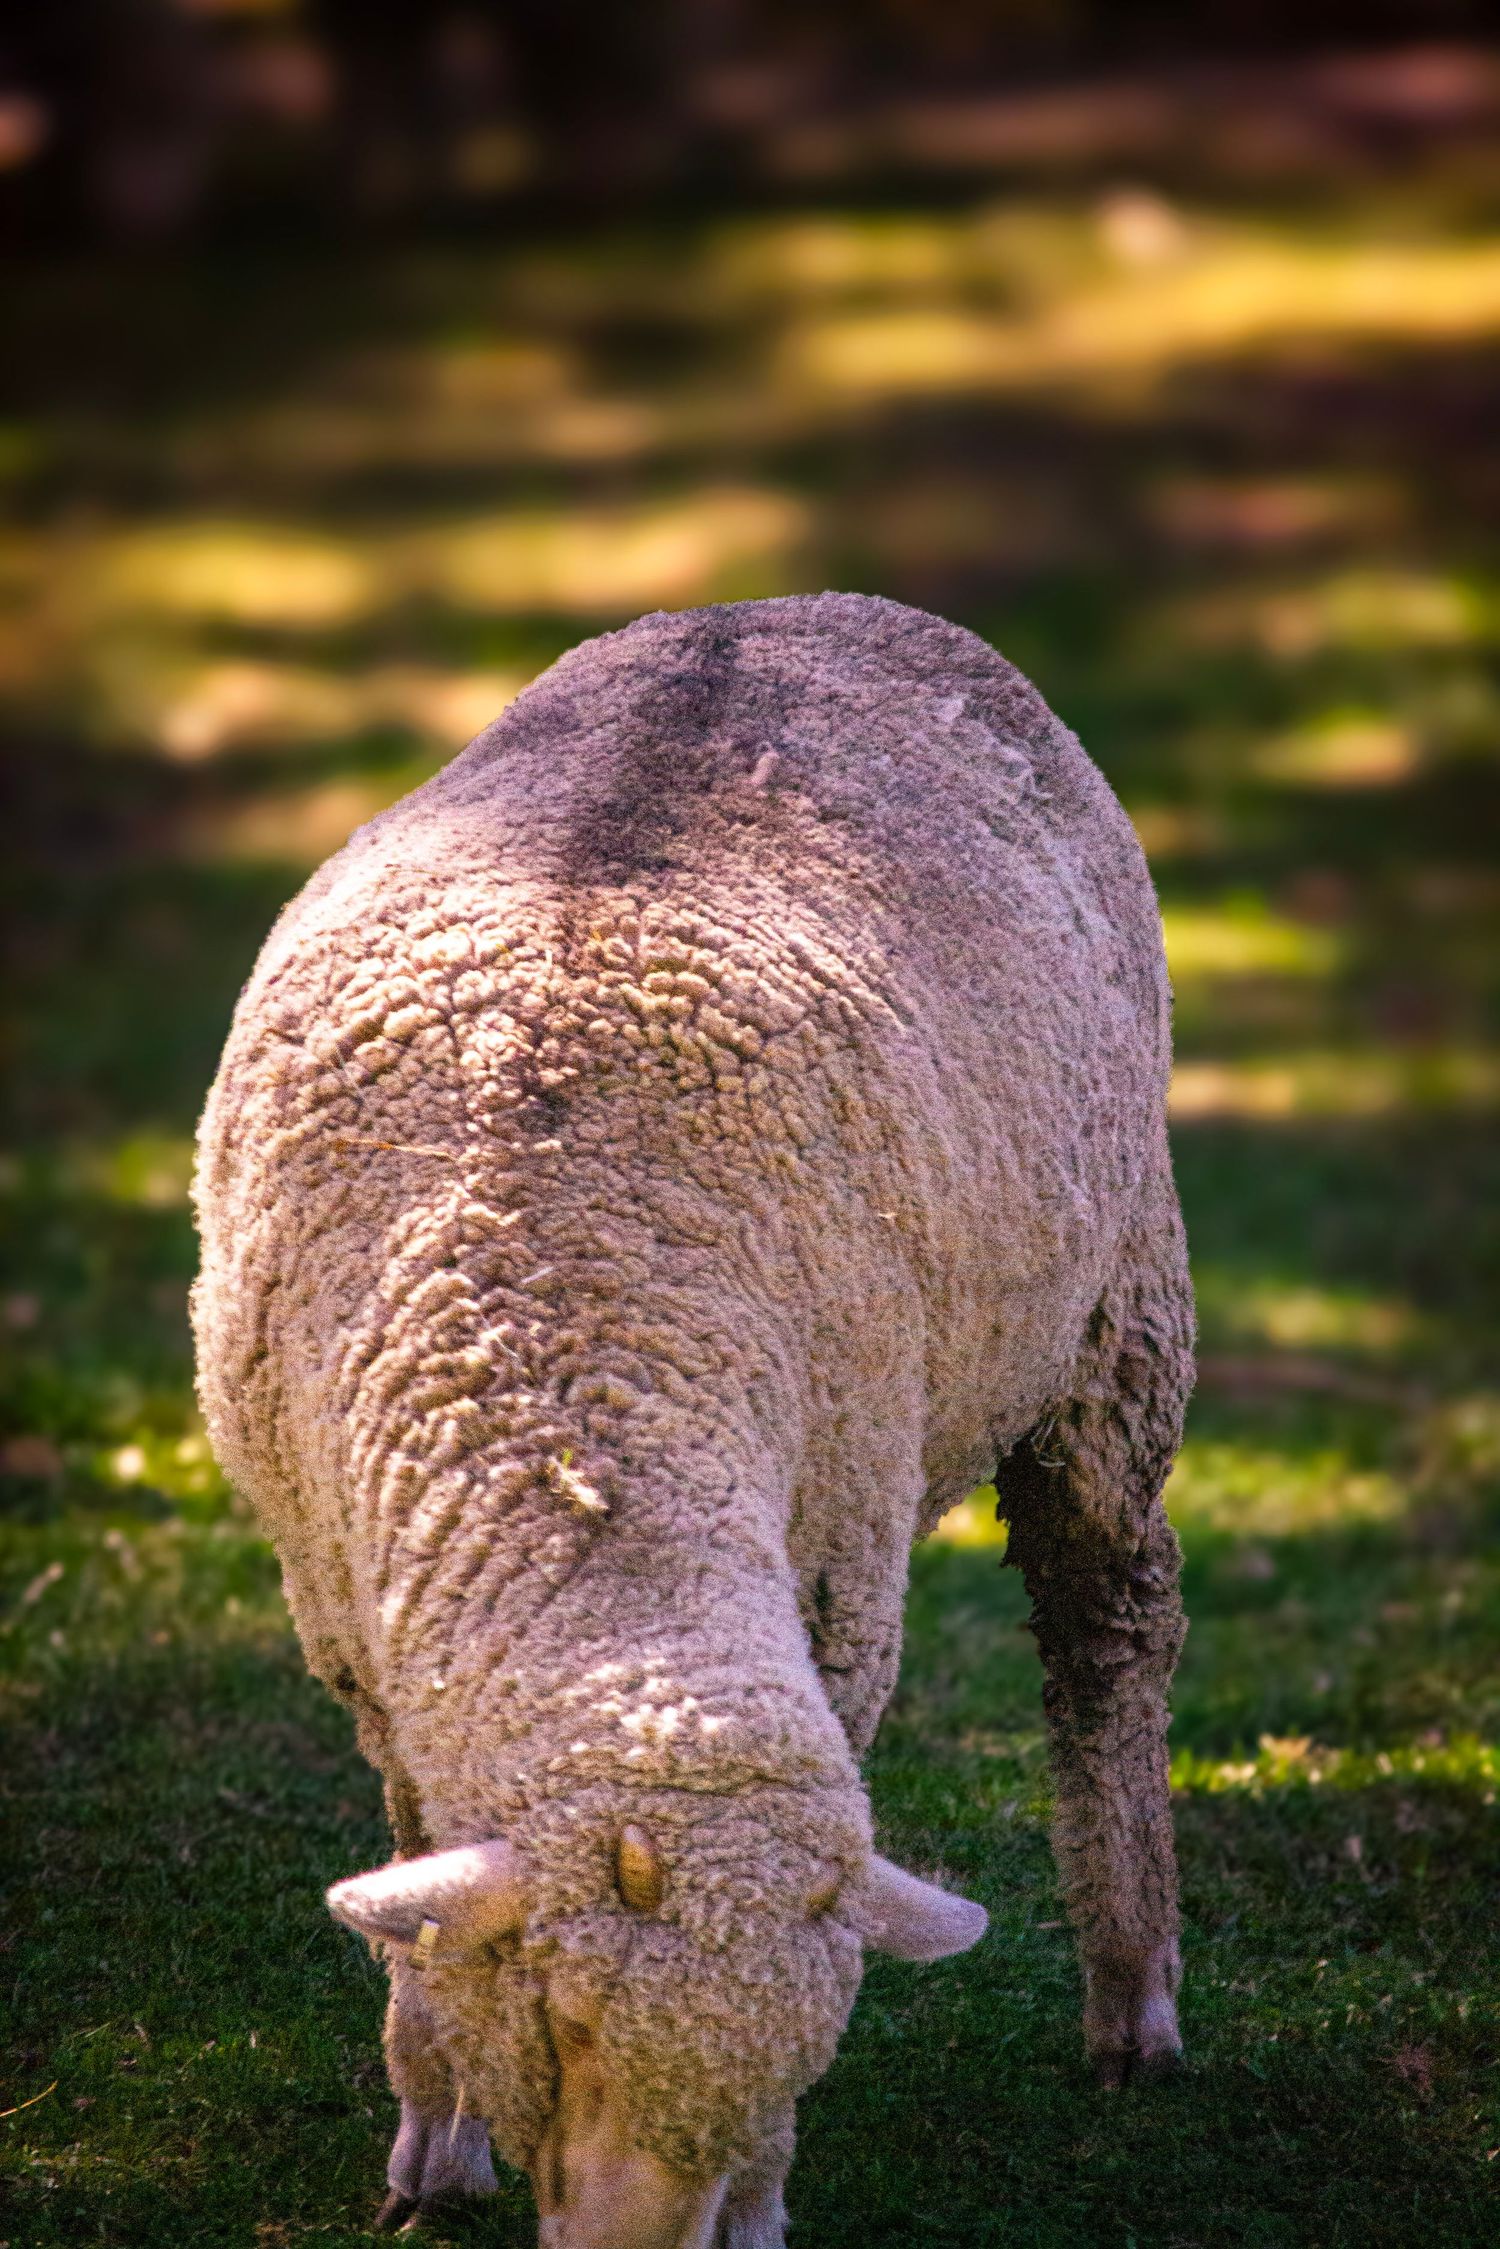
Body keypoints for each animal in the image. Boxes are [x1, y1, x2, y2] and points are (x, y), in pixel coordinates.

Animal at [192, 590, 1194, 2246]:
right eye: (559, 2014)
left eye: (798, 2069)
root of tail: (800, 605)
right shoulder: (353, 1625)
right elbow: (413, 1858)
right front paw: (433, 2121)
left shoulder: (840, 1569)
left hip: (1118, 1309)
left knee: (1110, 1625)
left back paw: (1135, 1998)